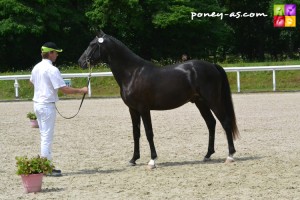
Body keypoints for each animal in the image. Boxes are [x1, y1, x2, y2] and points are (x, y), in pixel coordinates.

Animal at [78, 32, 240, 168]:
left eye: (92, 44)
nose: (80, 62)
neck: (132, 73)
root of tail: (212, 65)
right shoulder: (133, 109)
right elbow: (136, 133)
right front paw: (133, 159)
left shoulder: (144, 109)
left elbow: (149, 133)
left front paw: (152, 160)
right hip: (200, 102)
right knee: (211, 123)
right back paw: (207, 155)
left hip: (213, 100)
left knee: (225, 122)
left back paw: (230, 155)